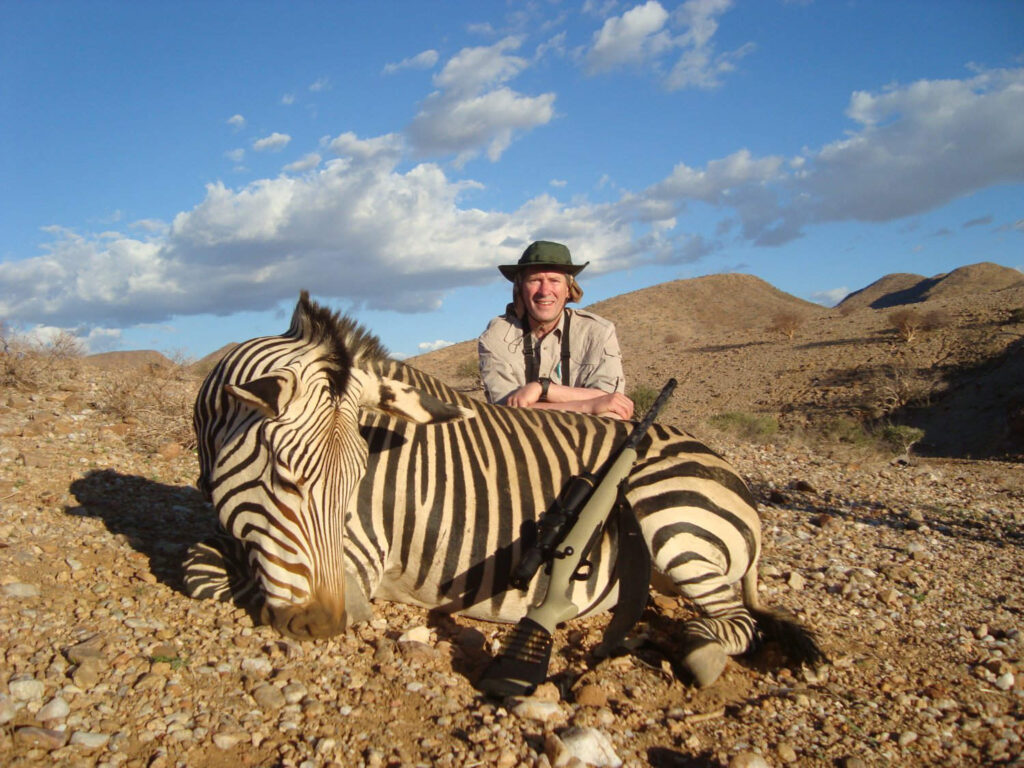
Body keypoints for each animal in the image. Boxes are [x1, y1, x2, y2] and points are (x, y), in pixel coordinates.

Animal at [184, 291, 823, 687]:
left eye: (353, 487)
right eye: (282, 477)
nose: (321, 624)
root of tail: (731, 473)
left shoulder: (358, 560)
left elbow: (225, 581)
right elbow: (202, 565)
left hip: (671, 521)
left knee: (735, 622)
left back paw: (694, 649)